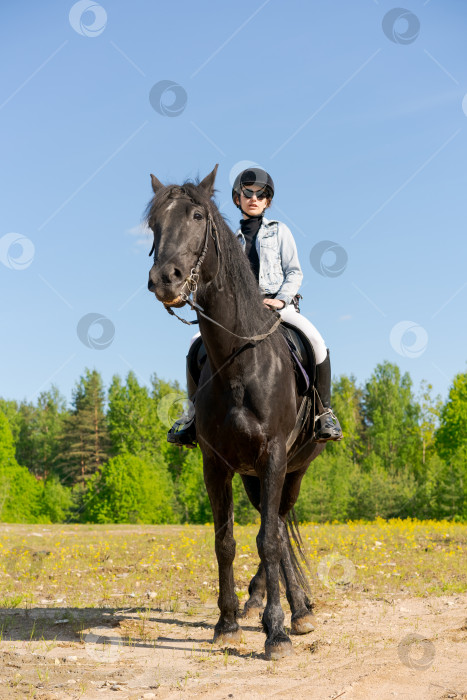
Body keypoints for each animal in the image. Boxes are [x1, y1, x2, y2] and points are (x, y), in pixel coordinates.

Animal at [148, 167, 328, 660]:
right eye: (153, 225)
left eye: (196, 216)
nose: (165, 279)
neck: (239, 363)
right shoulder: (216, 464)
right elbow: (225, 541)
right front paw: (228, 622)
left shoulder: (275, 458)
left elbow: (267, 540)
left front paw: (276, 632)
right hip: (251, 476)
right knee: (277, 528)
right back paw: (275, 603)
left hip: (294, 469)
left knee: (278, 527)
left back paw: (297, 612)